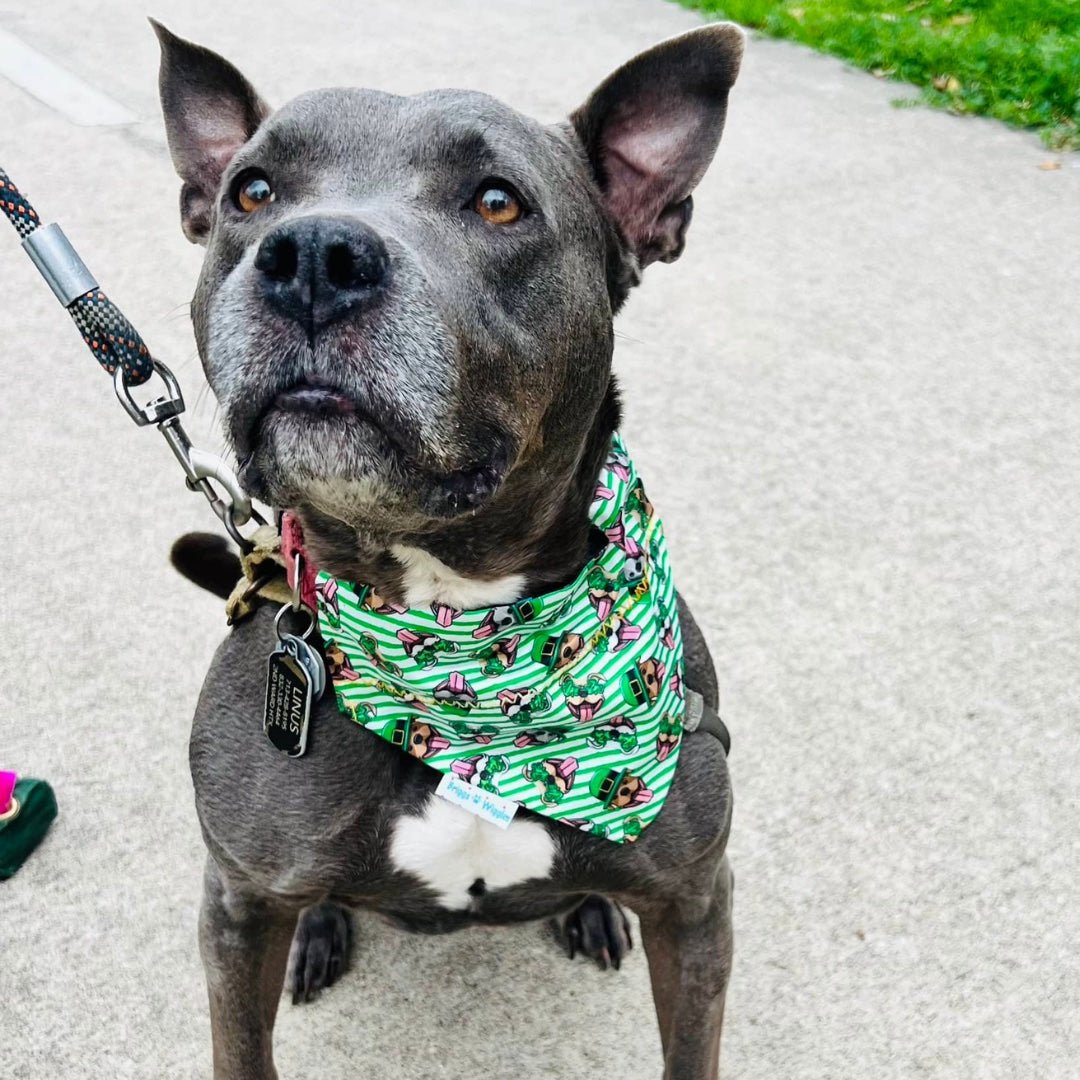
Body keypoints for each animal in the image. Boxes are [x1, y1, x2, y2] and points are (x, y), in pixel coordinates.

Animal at [154, 19, 743, 1080]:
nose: (312, 254)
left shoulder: (694, 903)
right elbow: (241, 1044)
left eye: (498, 201)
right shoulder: (238, 903)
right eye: (251, 193)